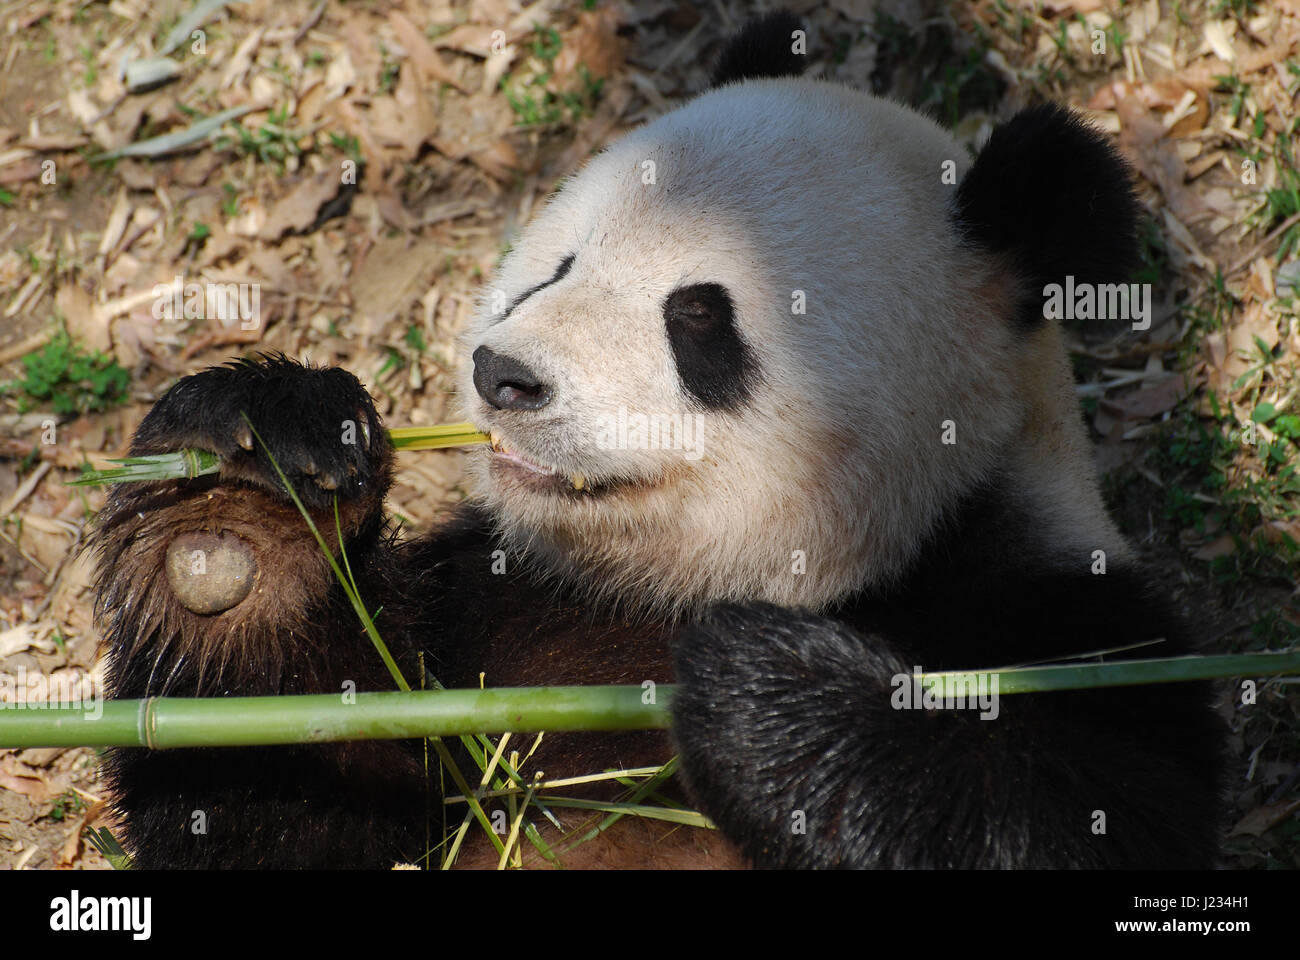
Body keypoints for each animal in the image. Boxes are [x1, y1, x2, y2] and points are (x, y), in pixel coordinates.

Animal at [94, 13, 1227, 868]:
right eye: (560, 264)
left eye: (697, 322)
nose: (502, 375)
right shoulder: (488, 624)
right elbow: (278, 794)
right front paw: (245, 505)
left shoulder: (1060, 618)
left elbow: (1068, 815)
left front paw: (766, 694)